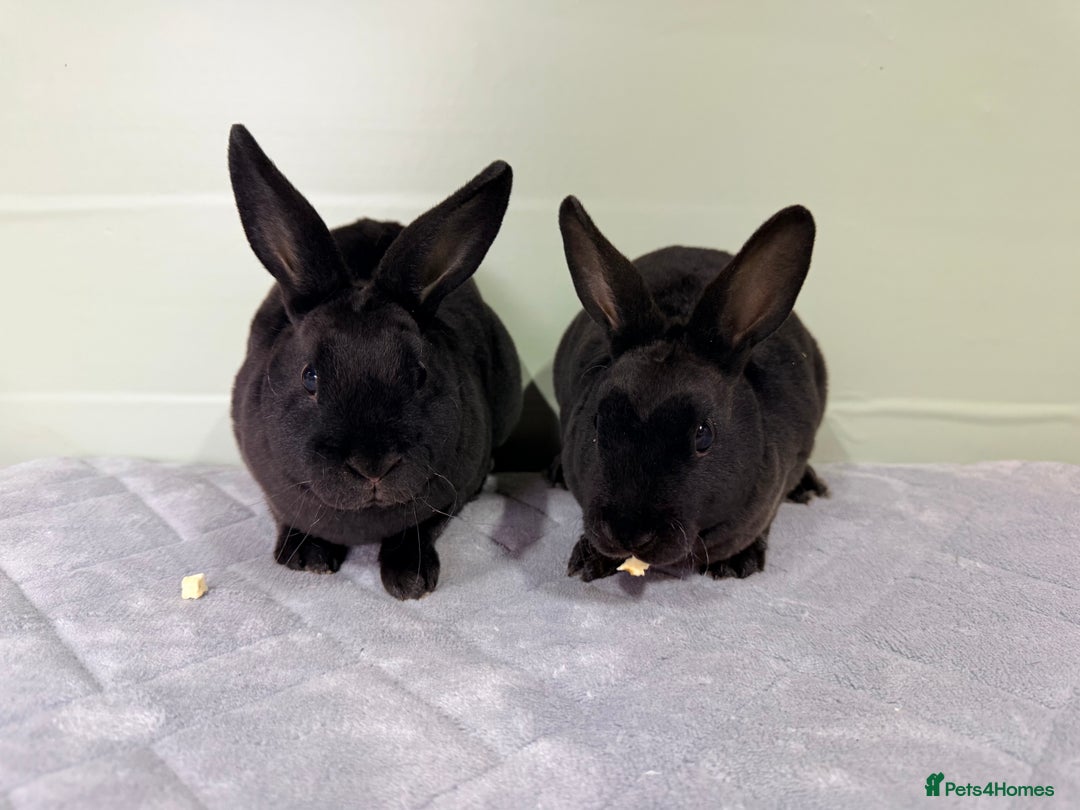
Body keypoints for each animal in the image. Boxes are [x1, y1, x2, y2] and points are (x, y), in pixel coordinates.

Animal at [227, 124, 522, 599]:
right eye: (310, 377)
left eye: (420, 374)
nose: (373, 467)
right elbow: (285, 515)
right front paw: (307, 559)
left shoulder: (450, 493)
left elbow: (421, 526)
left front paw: (410, 580)